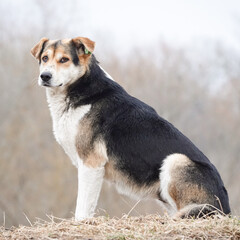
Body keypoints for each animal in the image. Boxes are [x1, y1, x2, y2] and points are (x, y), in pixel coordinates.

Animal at [30, 37, 231, 219]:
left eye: (64, 59)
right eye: (45, 58)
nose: (45, 76)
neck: (81, 88)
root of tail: (226, 208)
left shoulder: (91, 164)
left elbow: (83, 208)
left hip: (176, 160)